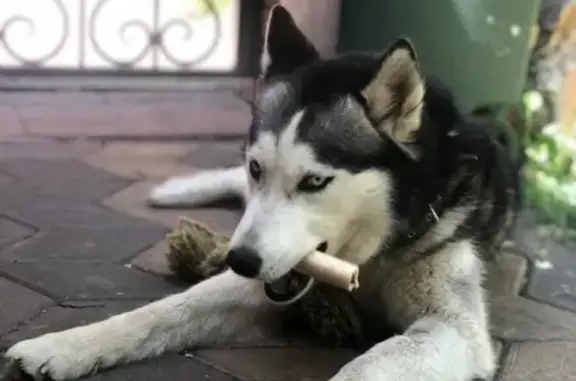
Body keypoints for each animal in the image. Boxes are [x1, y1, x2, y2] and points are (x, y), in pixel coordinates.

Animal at [2, 5, 520, 380]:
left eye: (315, 182)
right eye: (257, 167)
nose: (240, 261)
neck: (369, 256)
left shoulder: (454, 328)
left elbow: (367, 365)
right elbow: (161, 312)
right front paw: (64, 345)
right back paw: (179, 190)